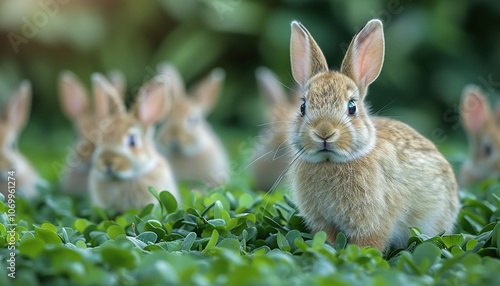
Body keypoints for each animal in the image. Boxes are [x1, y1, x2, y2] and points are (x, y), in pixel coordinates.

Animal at [288, 19, 458, 250]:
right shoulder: (322, 222)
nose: (324, 132)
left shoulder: (374, 222)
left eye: (352, 107)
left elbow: (367, 244)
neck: (330, 161)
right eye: (303, 107)